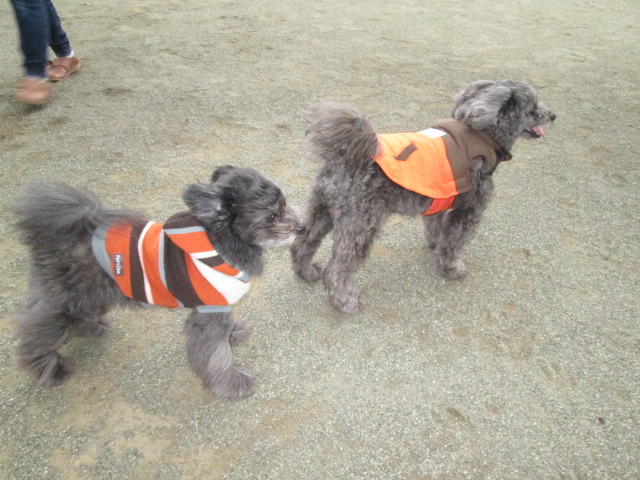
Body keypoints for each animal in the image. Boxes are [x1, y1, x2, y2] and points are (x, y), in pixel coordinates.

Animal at [13, 165, 305, 398]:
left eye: (284, 204)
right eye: (272, 215)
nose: (302, 227)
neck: (221, 240)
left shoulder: (218, 305)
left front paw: (232, 334)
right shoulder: (209, 312)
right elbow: (216, 356)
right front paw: (231, 384)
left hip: (91, 294)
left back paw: (92, 328)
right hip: (66, 301)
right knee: (35, 332)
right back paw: (49, 370)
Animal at [291, 80, 555, 313]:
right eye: (533, 108)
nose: (552, 115)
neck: (483, 136)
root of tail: (349, 155)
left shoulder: (438, 199)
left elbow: (436, 227)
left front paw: (435, 244)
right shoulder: (468, 210)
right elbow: (455, 243)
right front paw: (453, 268)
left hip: (322, 211)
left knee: (302, 245)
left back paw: (307, 273)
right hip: (361, 225)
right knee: (336, 271)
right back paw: (345, 301)